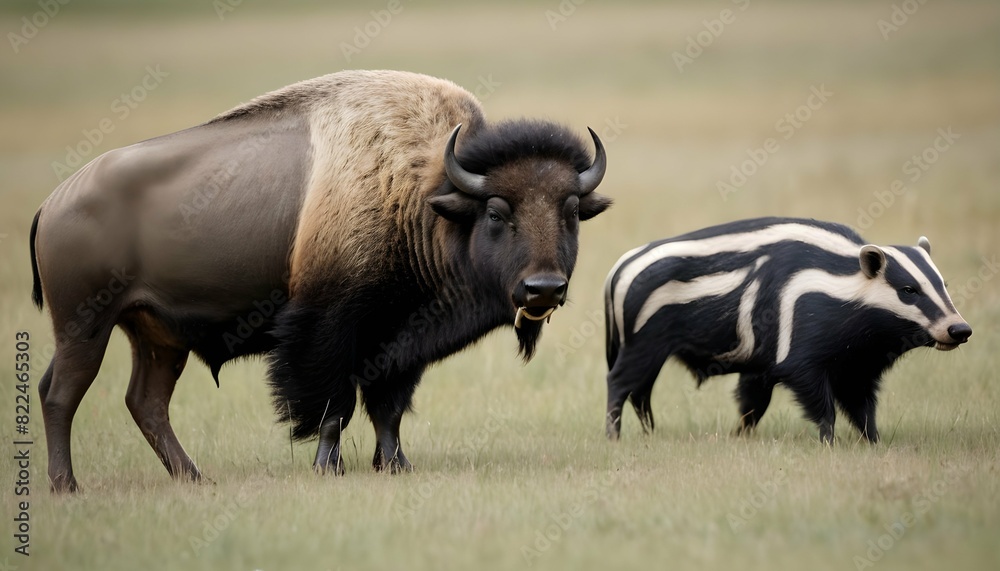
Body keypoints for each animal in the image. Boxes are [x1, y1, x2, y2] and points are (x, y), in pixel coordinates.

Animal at [31, 71, 608, 492]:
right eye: (495, 211)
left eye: (571, 211)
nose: (544, 288)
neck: (424, 197)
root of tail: (55, 200)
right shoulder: (329, 330)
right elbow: (335, 404)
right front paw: (328, 467)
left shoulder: (399, 342)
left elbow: (387, 410)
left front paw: (395, 466)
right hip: (86, 325)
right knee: (62, 393)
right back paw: (67, 486)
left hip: (157, 337)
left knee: (145, 402)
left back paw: (194, 477)